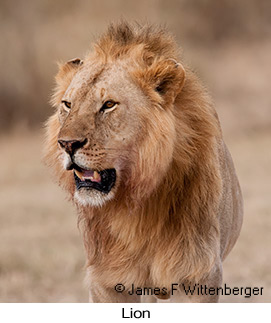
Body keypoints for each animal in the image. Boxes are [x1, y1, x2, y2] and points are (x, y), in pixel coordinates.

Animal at [44, 22, 244, 304]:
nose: (67, 144)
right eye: (67, 104)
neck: (137, 204)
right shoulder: (107, 280)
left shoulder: (199, 275)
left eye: (108, 105)